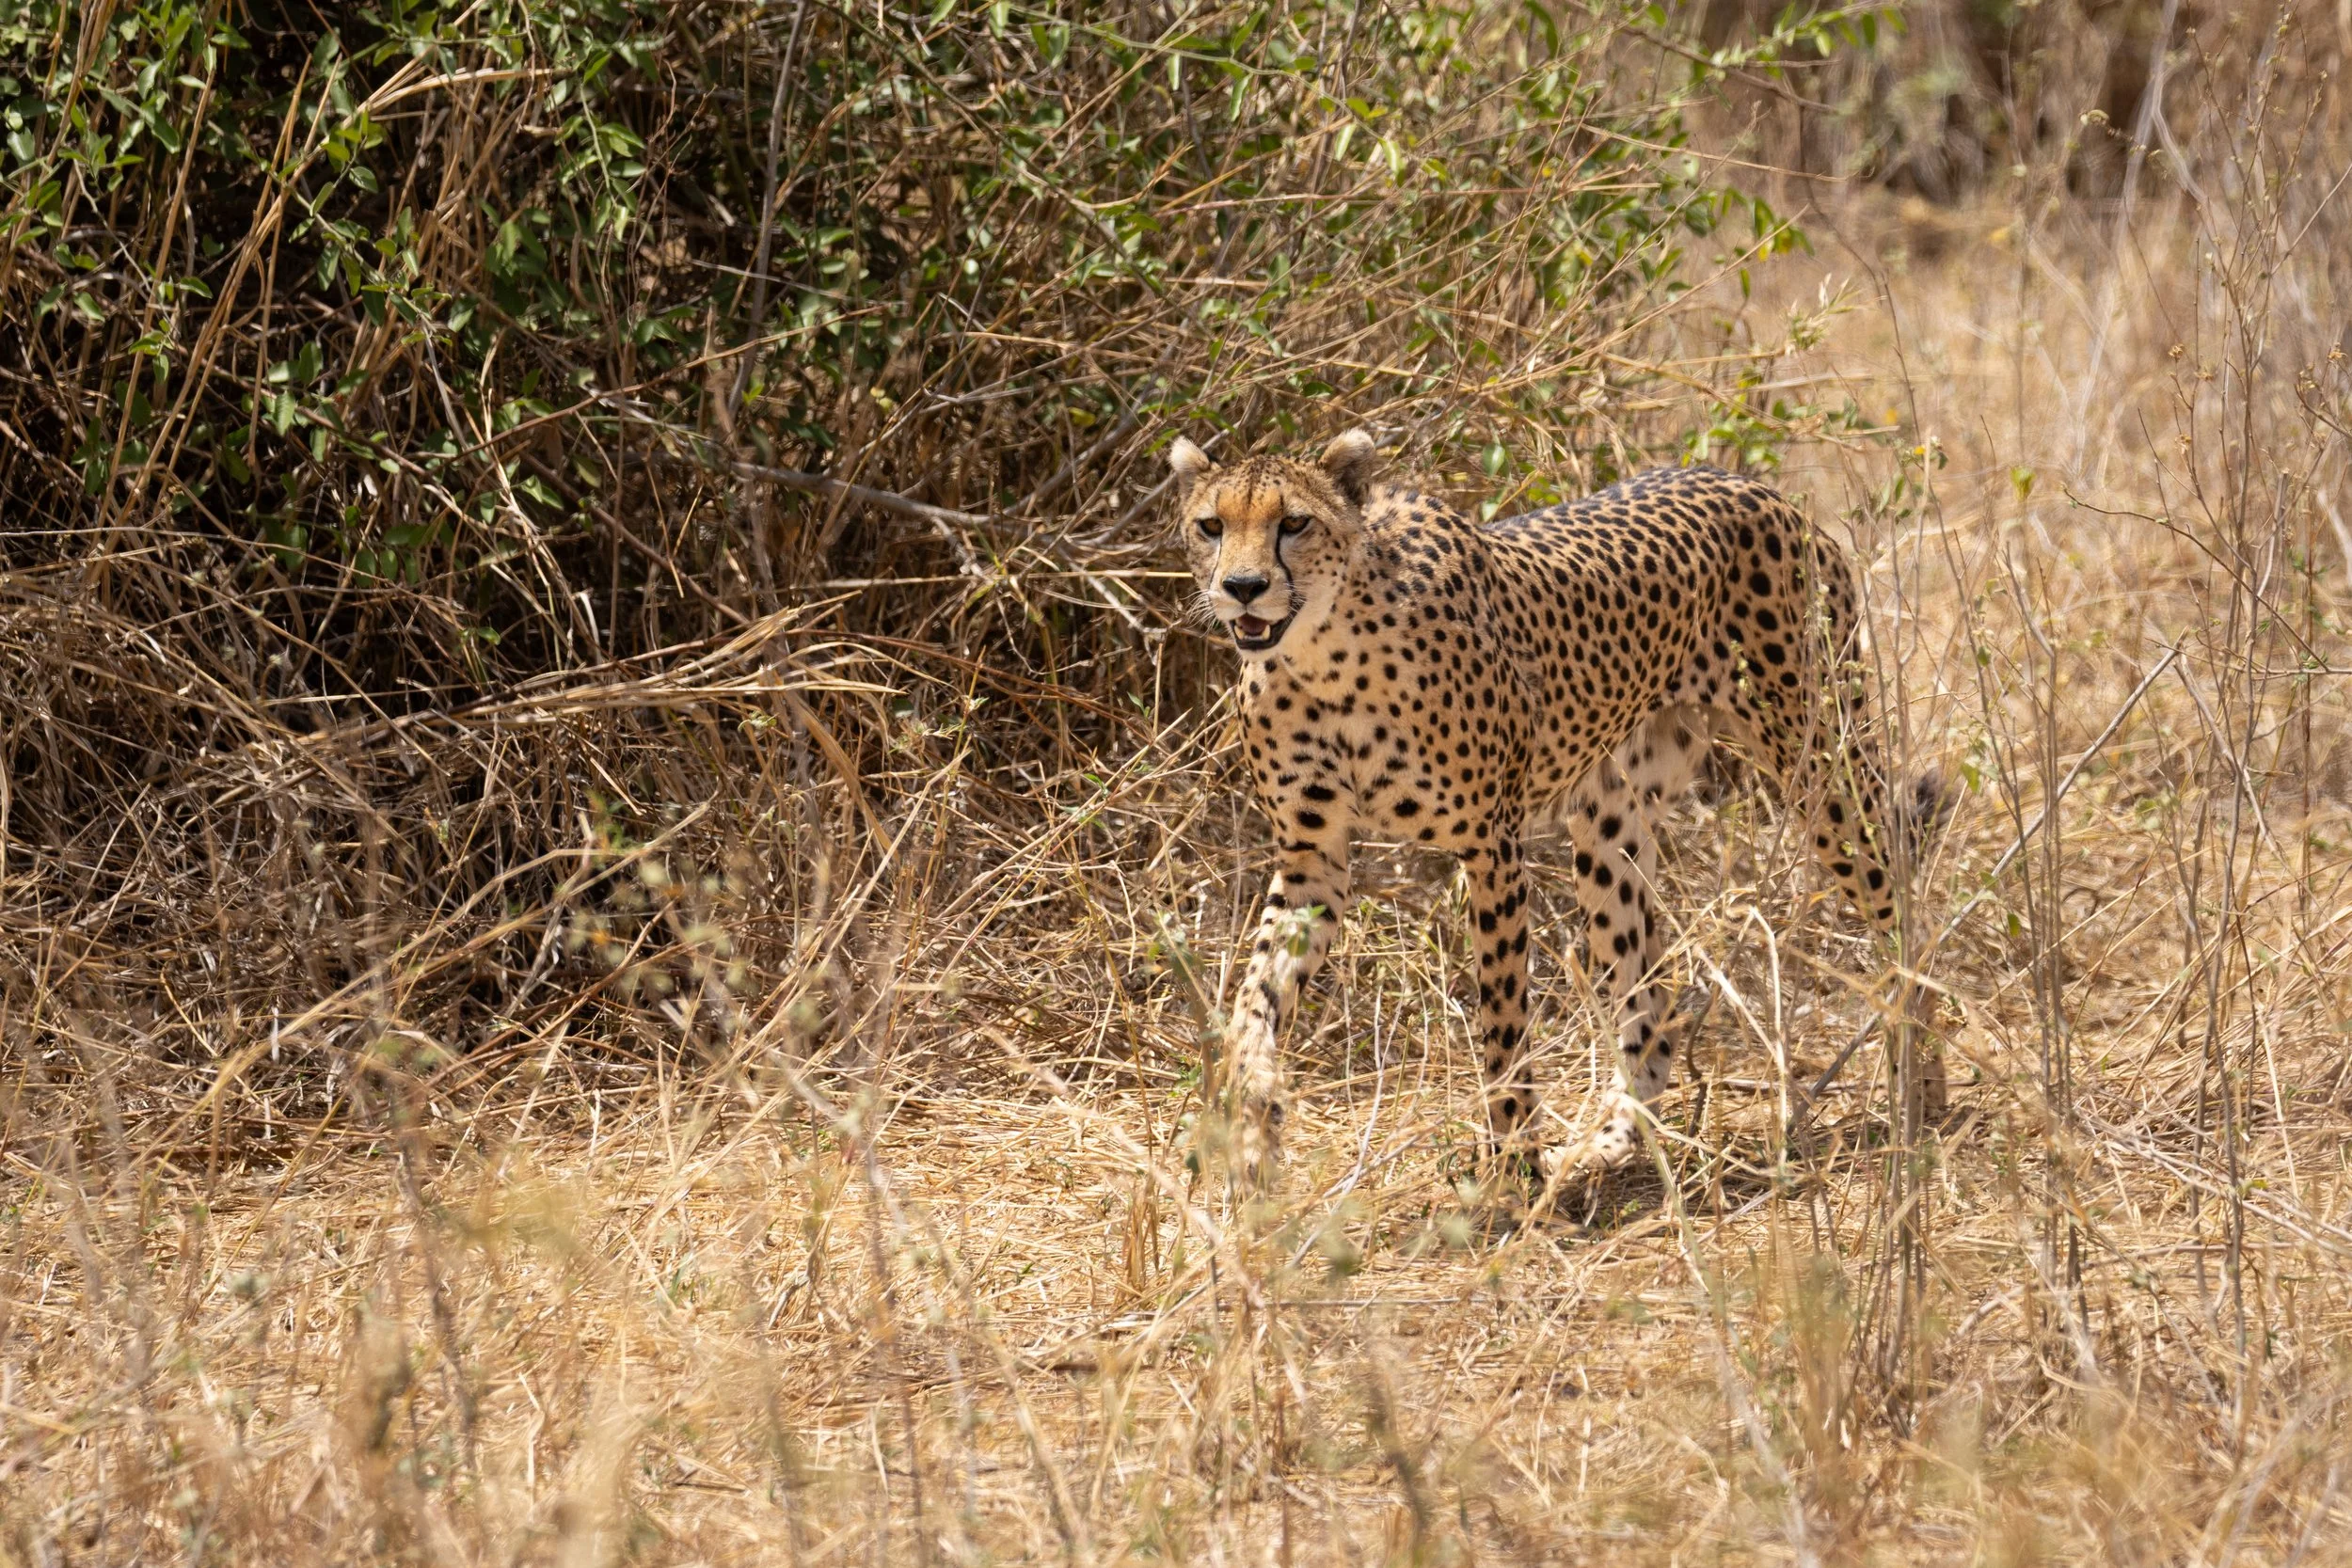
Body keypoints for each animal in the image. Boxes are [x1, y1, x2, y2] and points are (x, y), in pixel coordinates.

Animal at [1168, 426, 1945, 1184]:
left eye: (1294, 522)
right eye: (1211, 525)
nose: (1243, 587)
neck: (1325, 657)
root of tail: (1757, 489)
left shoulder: (1492, 846)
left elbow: (1504, 1024)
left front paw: (1514, 1172)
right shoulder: (1313, 859)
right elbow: (1252, 1000)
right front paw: (1254, 1124)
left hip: (1822, 766)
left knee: (1904, 905)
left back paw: (1922, 1098)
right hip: (1611, 826)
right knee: (1649, 1008)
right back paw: (1611, 1141)